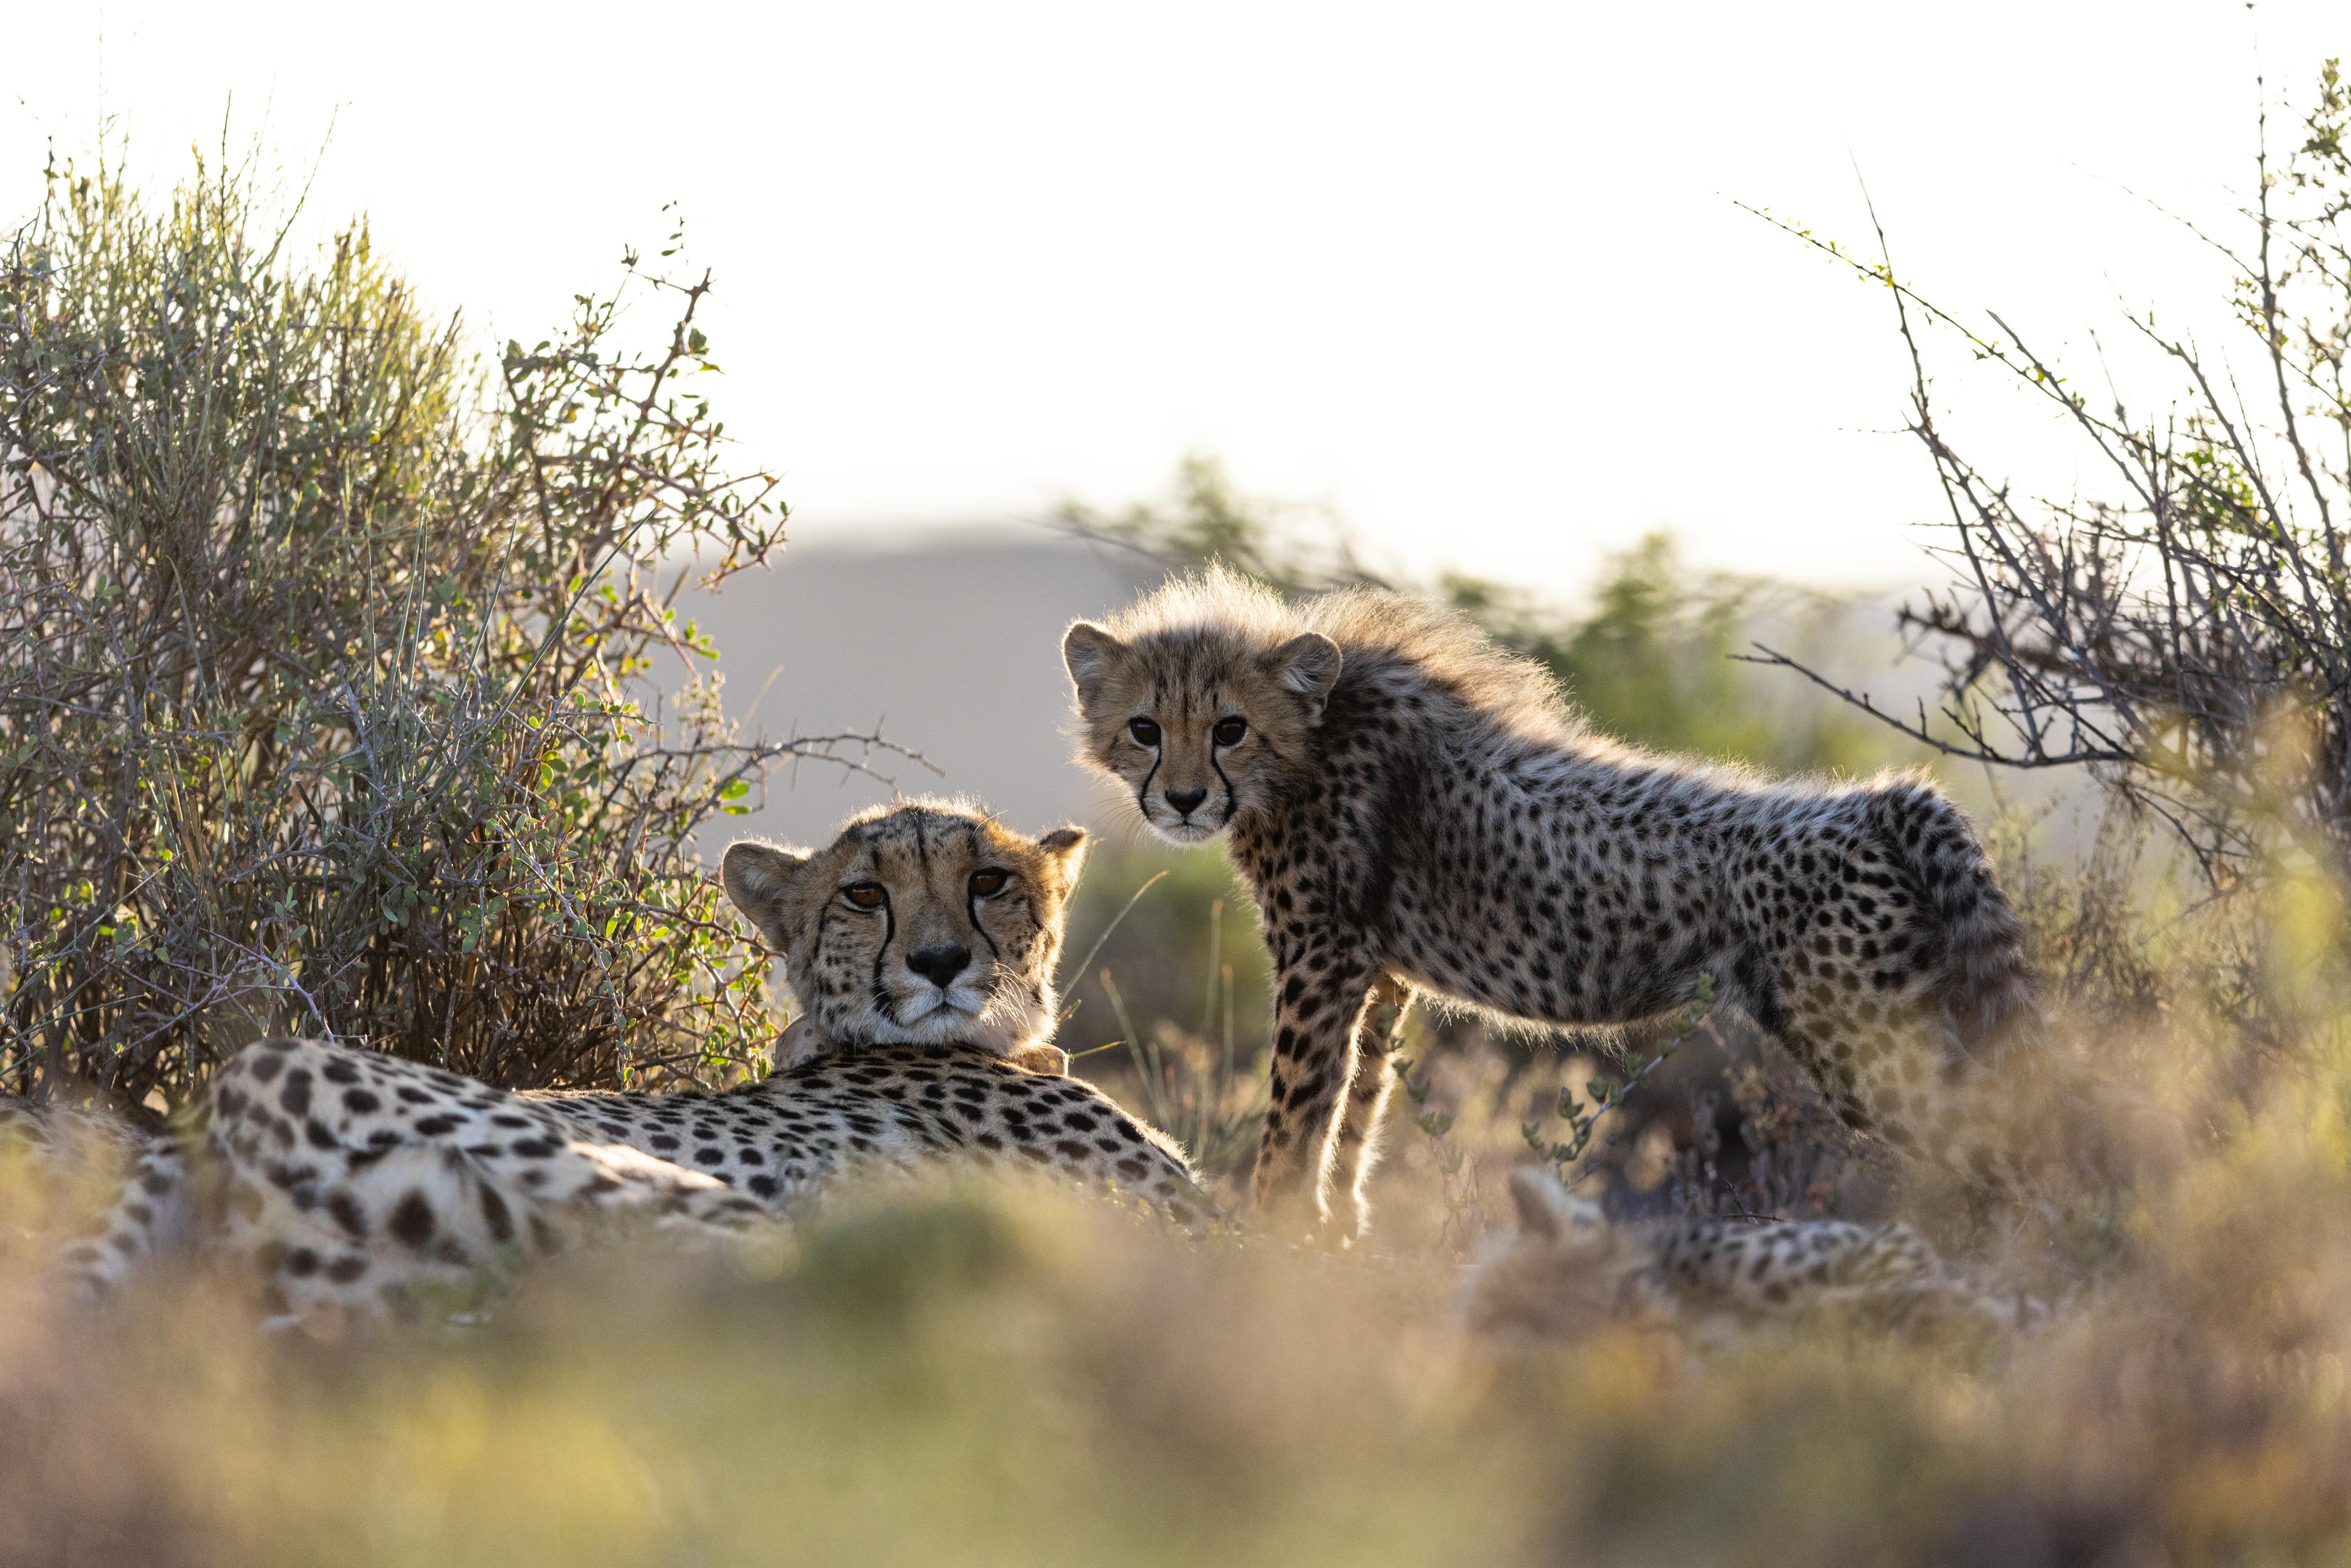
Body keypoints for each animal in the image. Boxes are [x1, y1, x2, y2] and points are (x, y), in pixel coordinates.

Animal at [1064, 566, 2048, 1236]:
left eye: (1229, 729)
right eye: (1145, 729)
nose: (1183, 799)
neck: (1313, 736)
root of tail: (1881, 801)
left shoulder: (1323, 957)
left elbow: (1297, 1112)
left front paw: (1272, 1242)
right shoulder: (1378, 973)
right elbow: (1356, 1116)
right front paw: (1338, 1240)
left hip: (1869, 1047)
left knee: (2008, 1159)